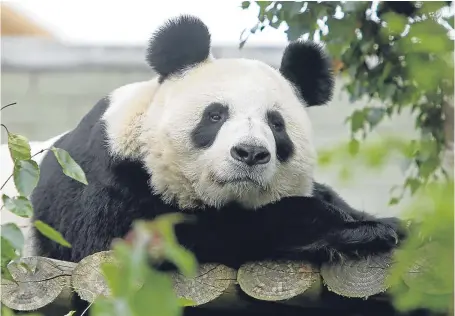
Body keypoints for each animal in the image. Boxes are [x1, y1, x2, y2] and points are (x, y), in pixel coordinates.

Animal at [30, 14, 404, 316]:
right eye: (215, 115)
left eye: (276, 124)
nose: (250, 153)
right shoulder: (108, 180)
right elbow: (174, 236)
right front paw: (355, 230)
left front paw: (381, 223)